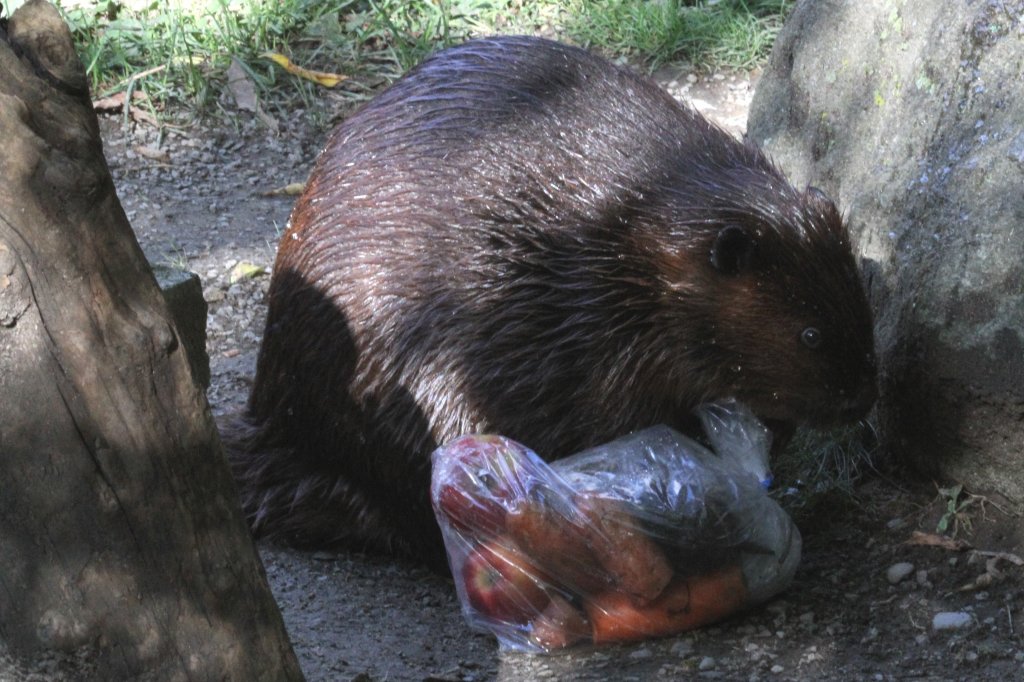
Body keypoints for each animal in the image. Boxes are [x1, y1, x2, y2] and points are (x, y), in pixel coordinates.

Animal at [228, 35, 876, 569]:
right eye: (810, 335)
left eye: (862, 306)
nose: (859, 402)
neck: (643, 222)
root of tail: (272, 431)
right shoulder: (586, 322)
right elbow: (615, 416)